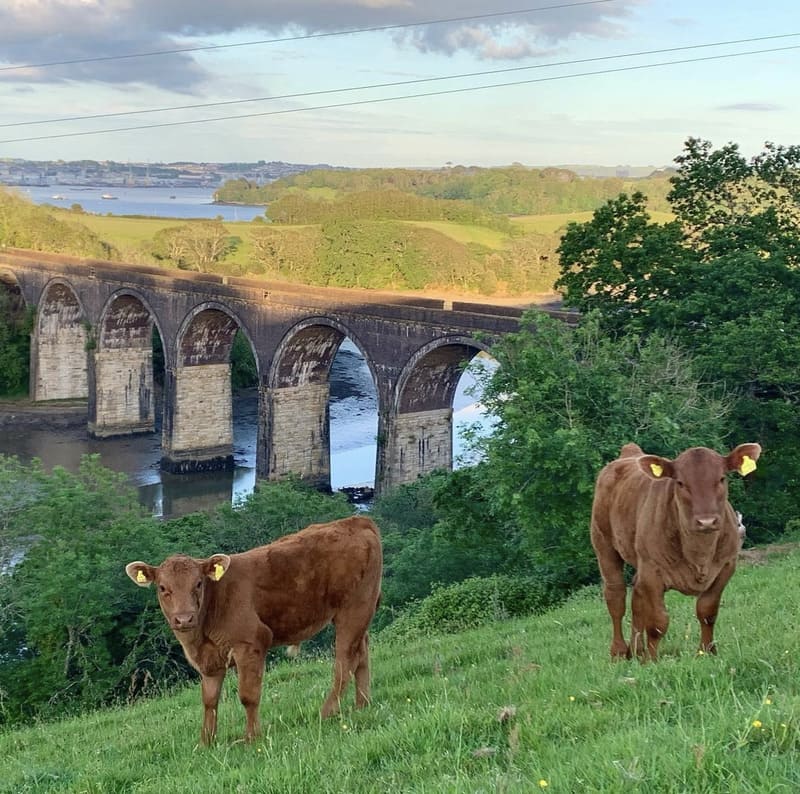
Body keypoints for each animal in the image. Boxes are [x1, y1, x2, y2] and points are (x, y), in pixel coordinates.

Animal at [126, 512, 382, 744]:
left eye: (198, 584)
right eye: (163, 588)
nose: (184, 618)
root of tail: (356, 521)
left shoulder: (250, 644)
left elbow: (248, 696)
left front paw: (251, 738)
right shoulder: (209, 659)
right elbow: (209, 700)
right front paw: (206, 743)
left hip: (354, 608)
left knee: (345, 660)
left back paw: (327, 712)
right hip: (359, 613)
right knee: (362, 652)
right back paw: (362, 704)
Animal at [592, 442, 760, 660]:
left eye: (722, 478)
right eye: (680, 483)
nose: (707, 521)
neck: (699, 555)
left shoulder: (726, 566)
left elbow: (707, 611)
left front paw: (706, 652)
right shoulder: (652, 571)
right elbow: (657, 622)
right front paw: (652, 660)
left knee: (636, 597)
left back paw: (637, 651)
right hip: (603, 544)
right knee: (616, 597)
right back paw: (620, 652)